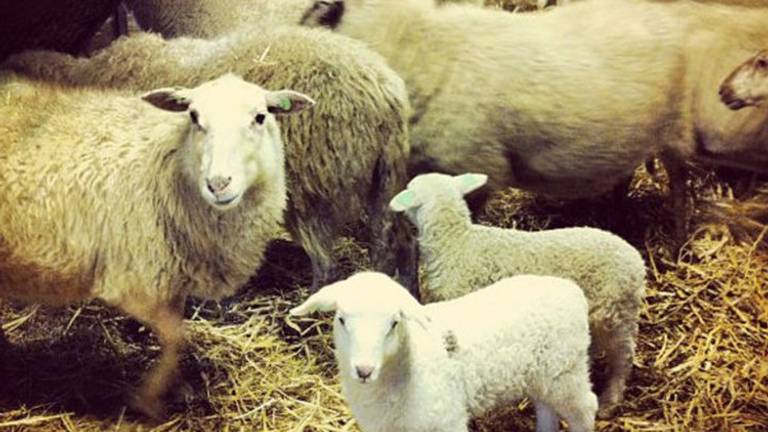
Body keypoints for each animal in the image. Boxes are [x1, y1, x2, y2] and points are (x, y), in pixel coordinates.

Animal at [0, 72, 314, 416]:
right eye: (194, 117)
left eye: (260, 117)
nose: (218, 184)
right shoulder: (134, 281)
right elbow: (176, 337)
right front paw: (149, 398)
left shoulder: (171, 277)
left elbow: (178, 331)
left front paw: (176, 387)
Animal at [292, 272, 596, 432]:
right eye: (341, 320)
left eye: (394, 323)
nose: (364, 370)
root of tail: (571, 289)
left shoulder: (446, 418)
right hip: (542, 377)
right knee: (547, 409)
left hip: (565, 371)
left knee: (585, 407)